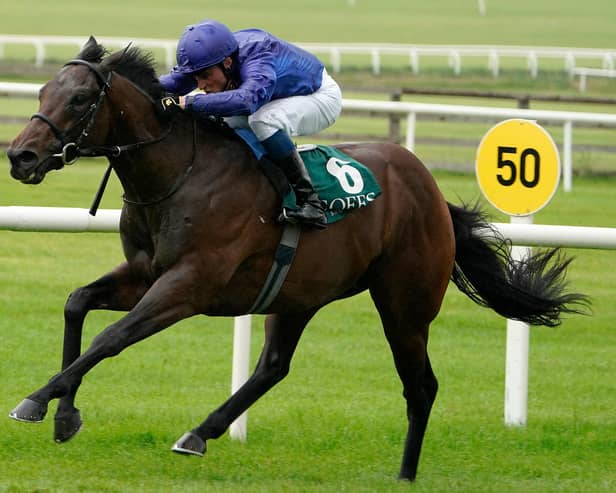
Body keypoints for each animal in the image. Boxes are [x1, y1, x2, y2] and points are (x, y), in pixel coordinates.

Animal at [6, 38, 588, 480]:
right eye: (43, 91)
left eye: (80, 99)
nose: (21, 156)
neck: (181, 174)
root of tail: (431, 190)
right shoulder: (145, 273)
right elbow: (77, 304)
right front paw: (64, 414)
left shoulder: (188, 285)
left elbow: (111, 338)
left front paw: (35, 399)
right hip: (299, 295)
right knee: (273, 366)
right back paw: (200, 433)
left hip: (405, 304)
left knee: (420, 386)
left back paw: (405, 474)